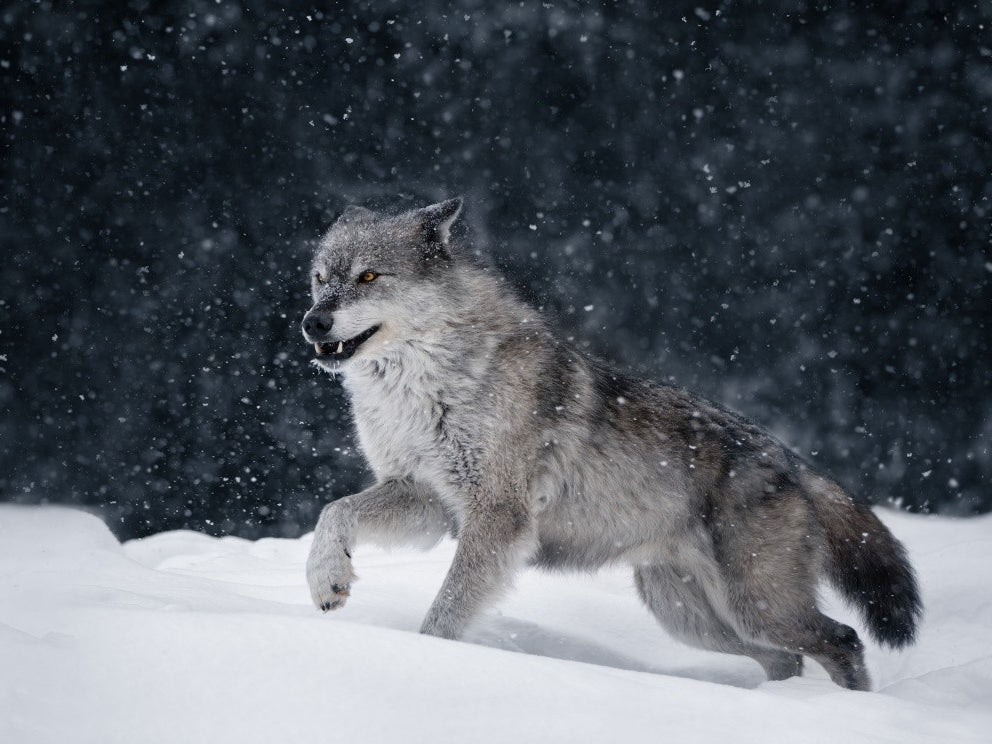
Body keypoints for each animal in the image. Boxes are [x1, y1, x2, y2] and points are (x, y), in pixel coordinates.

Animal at [301, 198, 921, 690]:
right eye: (320, 278)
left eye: (369, 277)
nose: (312, 323)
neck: (422, 390)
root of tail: (793, 461)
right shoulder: (427, 499)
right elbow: (335, 512)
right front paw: (327, 579)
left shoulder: (496, 517)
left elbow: (446, 613)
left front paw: (426, 656)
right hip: (692, 618)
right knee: (786, 661)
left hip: (758, 607)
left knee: (843, 640)